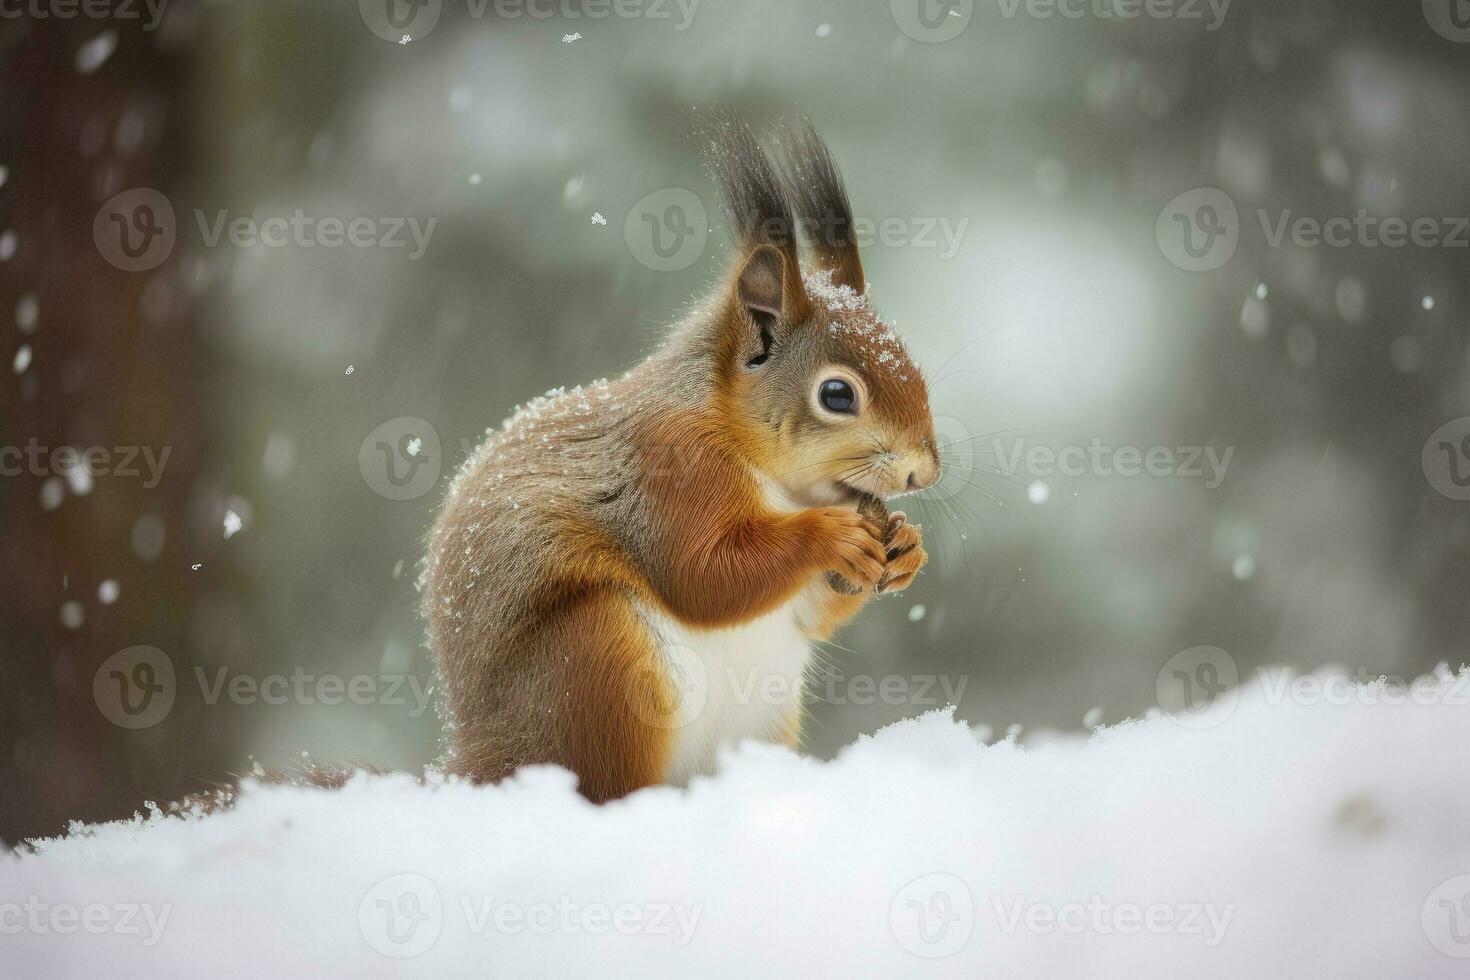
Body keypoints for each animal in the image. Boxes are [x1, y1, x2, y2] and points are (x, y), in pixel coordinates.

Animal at [420, 115, 934, 805]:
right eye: (836, 395)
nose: (925, 471)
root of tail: (485, 762)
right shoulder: (670, 466)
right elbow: (703, 575)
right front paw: (829, 536)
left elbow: (810, 612)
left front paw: (906, 546)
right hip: (599, 664)